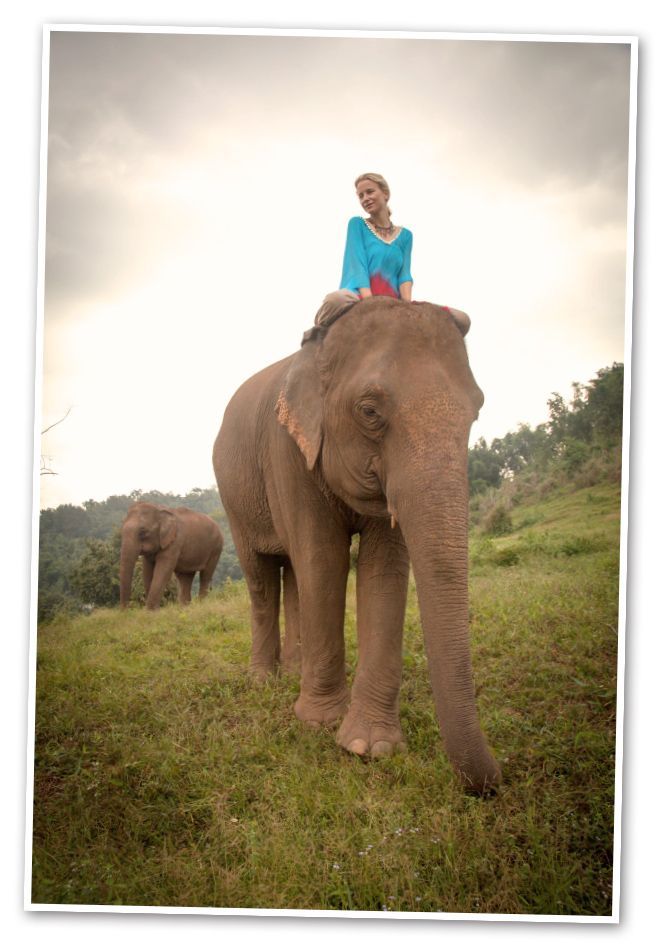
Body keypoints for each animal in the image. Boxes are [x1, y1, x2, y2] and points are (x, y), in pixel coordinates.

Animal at [212, 297, 500, 793]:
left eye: (477, 411)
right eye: (369, 411)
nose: (498, 777)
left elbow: (382, 569)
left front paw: (369, 747)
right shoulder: (287, 451)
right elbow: (324, 558)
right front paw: (320, 723)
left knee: (292, 573)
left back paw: (295, 672)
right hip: (234, 499)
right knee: (262, 576)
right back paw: (264, 681)